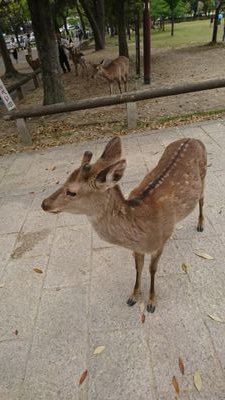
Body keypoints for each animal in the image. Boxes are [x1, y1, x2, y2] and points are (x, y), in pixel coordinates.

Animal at [42, 136, 207, 314]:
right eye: (64, 181)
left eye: (71, 192)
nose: (44, 204)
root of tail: (193, 138)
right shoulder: (138, 248)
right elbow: (138, 267)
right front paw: (133, 296)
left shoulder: (158, 244)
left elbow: (152, 269)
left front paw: (151, 302)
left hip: (204, 175)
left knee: (202, 198)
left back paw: (200, 225)